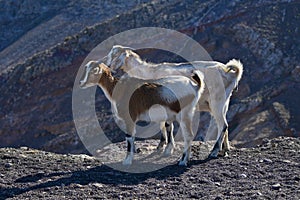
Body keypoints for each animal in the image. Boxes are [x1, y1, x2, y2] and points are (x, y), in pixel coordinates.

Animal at [101, 45, 244, 158]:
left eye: (114, 54)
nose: (106, 66)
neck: (147, 73)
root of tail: (231, 73)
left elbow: (166, 125)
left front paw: (166, 148)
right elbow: (163, 125)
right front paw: (162, 146)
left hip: (217, 101)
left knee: (222, 125)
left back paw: (214, 151)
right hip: (224, 102)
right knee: (223, 126)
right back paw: (224, 150)